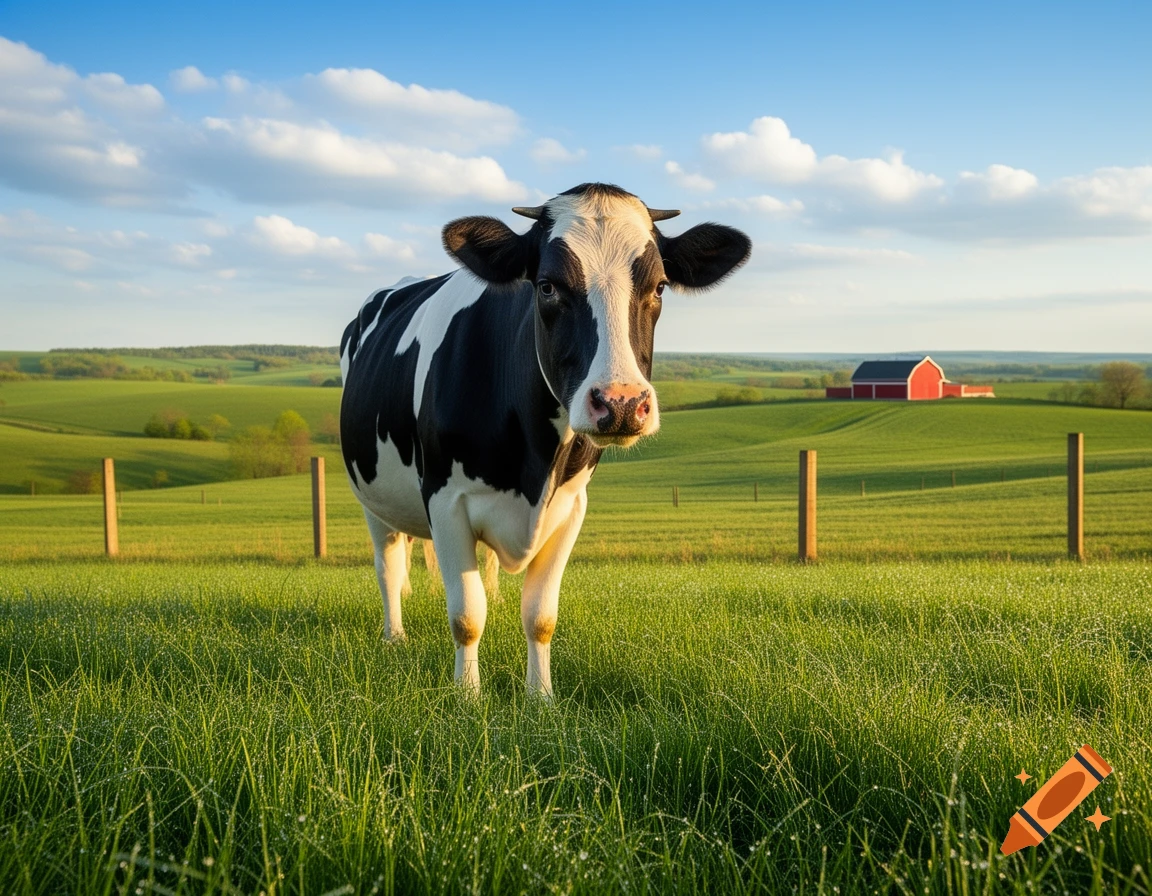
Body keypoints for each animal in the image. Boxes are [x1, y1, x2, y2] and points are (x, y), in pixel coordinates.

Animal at [339, 183, 751, 696]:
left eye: (659, 286)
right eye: (547, 286)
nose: (620, 403)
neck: (533, 465)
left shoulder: (570, 506)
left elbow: (540, 615)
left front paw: (541, 697)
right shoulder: (444, 498)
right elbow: (466, 615)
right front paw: (467, 696)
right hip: (373, 497)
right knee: (389, 565)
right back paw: (394, 637)